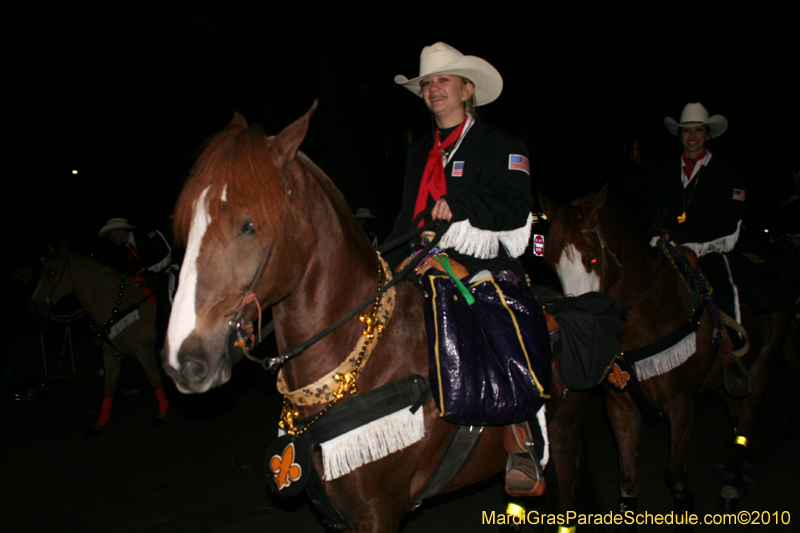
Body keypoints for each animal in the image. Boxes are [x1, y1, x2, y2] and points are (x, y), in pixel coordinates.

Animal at [28, 244, 170, 428]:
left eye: (52, 272)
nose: (33, 305)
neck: (119, 304)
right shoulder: (112, 354)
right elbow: (109, 388)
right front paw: (100, 422)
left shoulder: (144, 351)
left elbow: (154, 380)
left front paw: (162, 413)